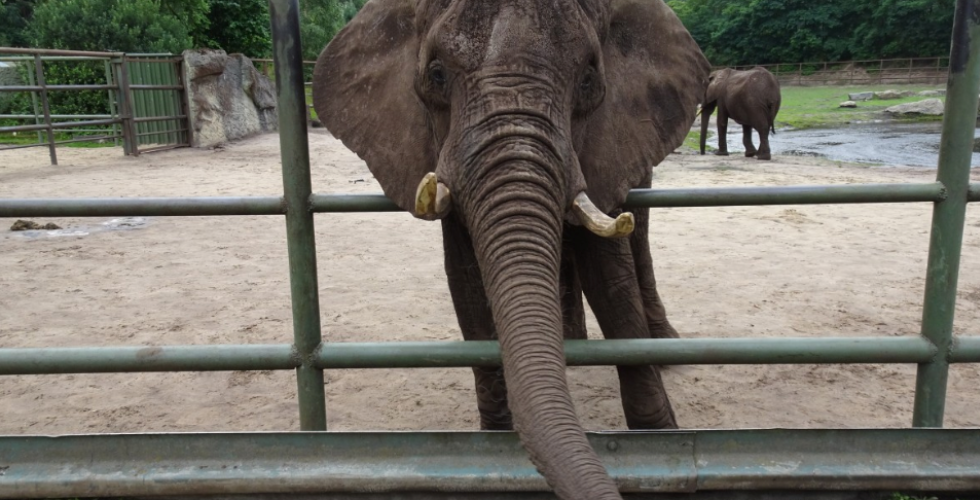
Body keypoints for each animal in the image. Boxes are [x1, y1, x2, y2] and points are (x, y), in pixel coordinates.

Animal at [311, 0, 709, 497]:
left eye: (588, 80)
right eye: (437, 75)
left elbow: (612, 283)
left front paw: (661, 440)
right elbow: (467, 281)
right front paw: (494, 450)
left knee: (636, 234)